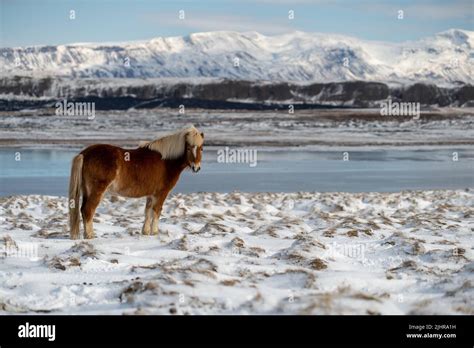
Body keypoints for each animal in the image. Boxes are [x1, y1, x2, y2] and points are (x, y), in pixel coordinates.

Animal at [68, 125, 204, 239]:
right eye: (188, 148)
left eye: (201, 148)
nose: (196, 168)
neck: (166, 161)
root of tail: (84, 154)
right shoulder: (161, 193)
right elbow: (157, 211)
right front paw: (154, 233)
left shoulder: (151, 194)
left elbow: (147, 211)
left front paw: (145, 232)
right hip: (97, 191)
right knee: (88, 210)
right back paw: (90, 236)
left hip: (87, 191)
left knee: (83, 210)